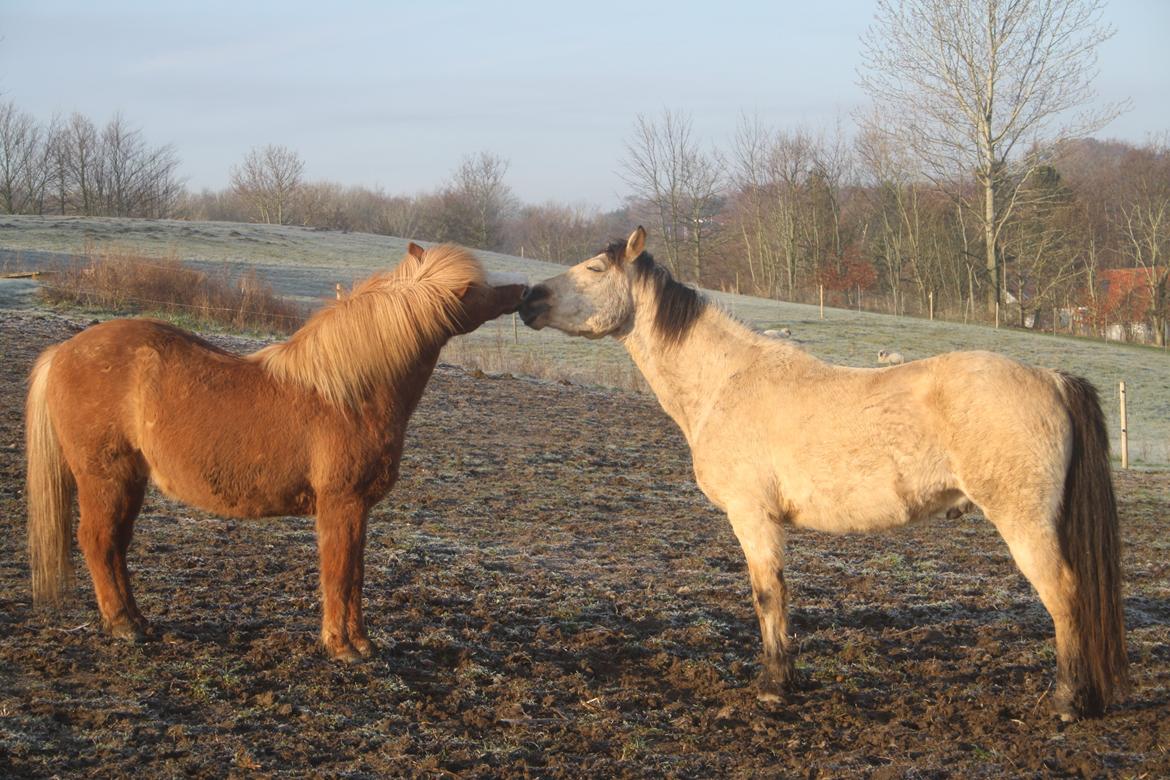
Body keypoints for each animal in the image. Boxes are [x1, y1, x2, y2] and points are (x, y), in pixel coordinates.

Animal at [25, 242, 528, 659]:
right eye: (477, 289)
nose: (523, 291)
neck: (349, 394)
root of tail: (63, 351)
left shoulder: (358, 508)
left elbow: (356, 576)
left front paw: (363, 643)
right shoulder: (340, 504)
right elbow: (339, 573)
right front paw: (342, 647)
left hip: (129, 481)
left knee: (115, 546)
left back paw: (139, 621)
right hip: (105, 478)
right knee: (97, 542)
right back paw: (123, 626)